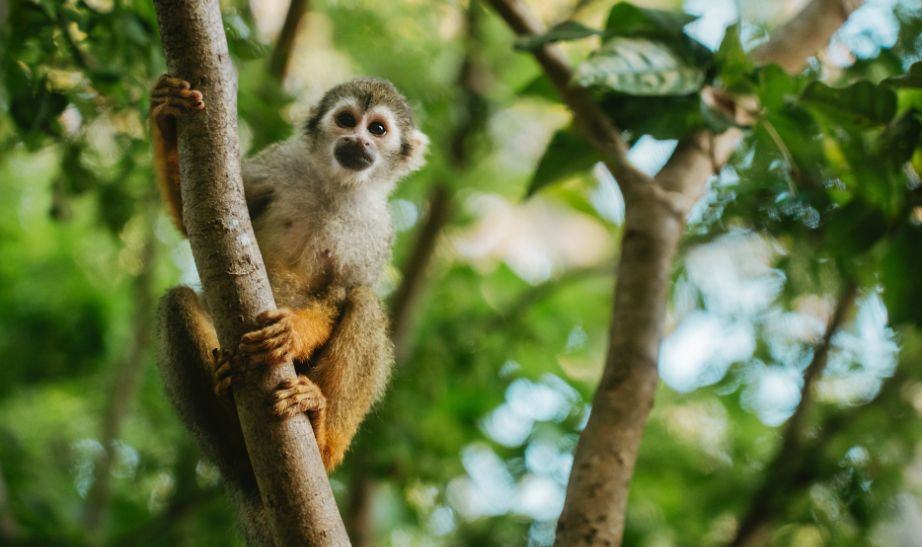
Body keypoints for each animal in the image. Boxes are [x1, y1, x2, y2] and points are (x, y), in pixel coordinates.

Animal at [151, 75, 428, 545]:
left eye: (378, 130)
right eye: (347, 120)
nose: (358, 142)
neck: (336, 186)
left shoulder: (376, 229)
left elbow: (338, 295)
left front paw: (292, 334)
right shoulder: (279, 163)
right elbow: (194, 223)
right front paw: (169, 117)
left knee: (365, 303)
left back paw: (320, 434)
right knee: (176, 303)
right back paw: (231, 424)